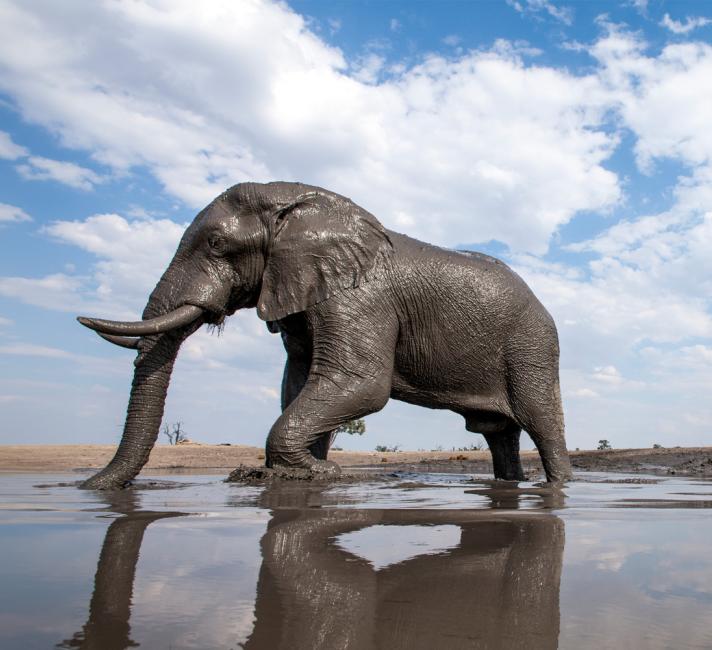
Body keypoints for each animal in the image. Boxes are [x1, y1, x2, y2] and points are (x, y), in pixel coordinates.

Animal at [76, 182, 572, 486]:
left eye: (217, 245)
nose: (87, 485)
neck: (296, 203)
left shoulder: (360, 298)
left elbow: (361, 383)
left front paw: (308, 472)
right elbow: (297, 382)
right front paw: (308, 470)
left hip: (531, 344)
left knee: (541, 421)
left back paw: (558, 486)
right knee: (499, 434)